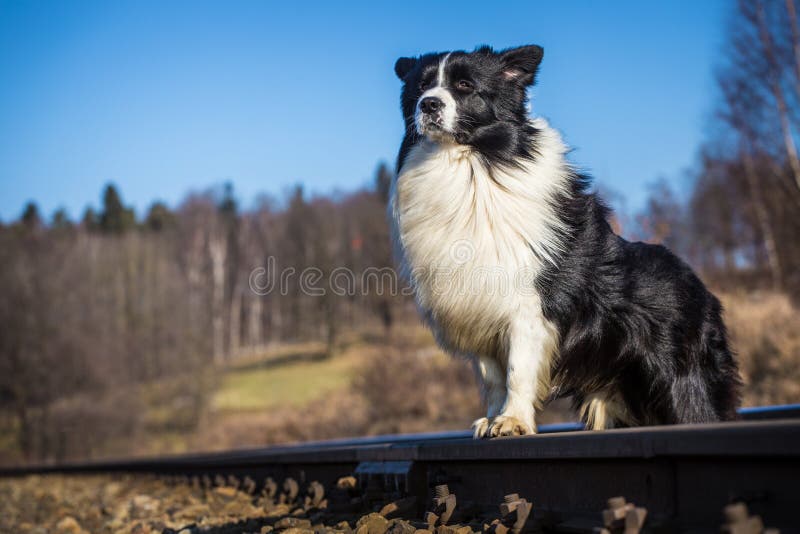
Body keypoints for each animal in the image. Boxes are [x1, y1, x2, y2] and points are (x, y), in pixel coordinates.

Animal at [390, 45, 740, 440]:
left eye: (464, 86)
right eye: (421, 87)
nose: (428, 105)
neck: (470, 163)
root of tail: (701, 286)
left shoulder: (529, 307)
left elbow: (518, 371)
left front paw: (512, 421)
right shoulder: (478, 310)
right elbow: (492, 378)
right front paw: (492, 419)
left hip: (684, 383)